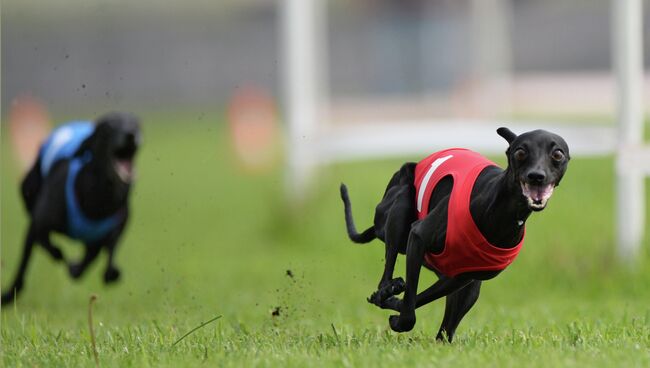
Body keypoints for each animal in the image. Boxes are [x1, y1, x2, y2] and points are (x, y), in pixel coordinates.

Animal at [1, 112, 139, 304]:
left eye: (136, 125)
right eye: (110, 125)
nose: (131, 135)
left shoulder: (117, 225)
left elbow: (106, 253)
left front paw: (100, 270)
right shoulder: (38, 223)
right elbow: (39, 245)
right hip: (28, 189)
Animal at [340, 128, 568, 340]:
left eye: (558, 154)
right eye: (520, 152)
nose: (536, 176)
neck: (503, 213)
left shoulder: (460, 278)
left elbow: (414, 301)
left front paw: (393, 306)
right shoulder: (418, 237)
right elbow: (409, 313)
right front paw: (395, 310)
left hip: (462, 284)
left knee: (446, 327)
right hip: (400, 204)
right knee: (388, 268)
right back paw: (388, 288)